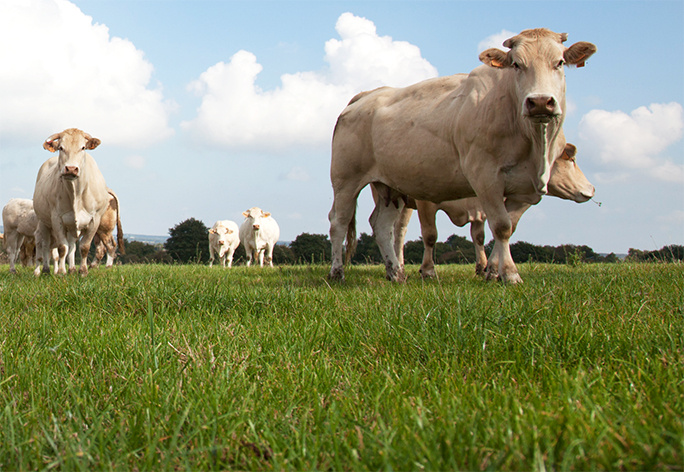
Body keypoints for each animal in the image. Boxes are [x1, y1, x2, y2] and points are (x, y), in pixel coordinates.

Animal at [32, 129, 111, 276]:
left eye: (83, 147)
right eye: (61, 148)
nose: (71, 168)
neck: (76, 193)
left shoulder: (95, 219)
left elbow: (84, 247)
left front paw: (82, 271)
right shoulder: (57, 219)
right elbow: (62, 248)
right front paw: (61, 271)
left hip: (72, 226)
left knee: (72, 246)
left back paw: (72, 269)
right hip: (44, 222)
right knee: (45, 245)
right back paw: (45, 270)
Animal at [392, 142, 596, 278]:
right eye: (572, 160)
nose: (592, 188)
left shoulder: (485, 206)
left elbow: (486, 235)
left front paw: (488, 267)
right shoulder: (426, 201)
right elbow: (430, 235)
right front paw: (428, 270)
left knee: (398, 231)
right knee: (399, 232)